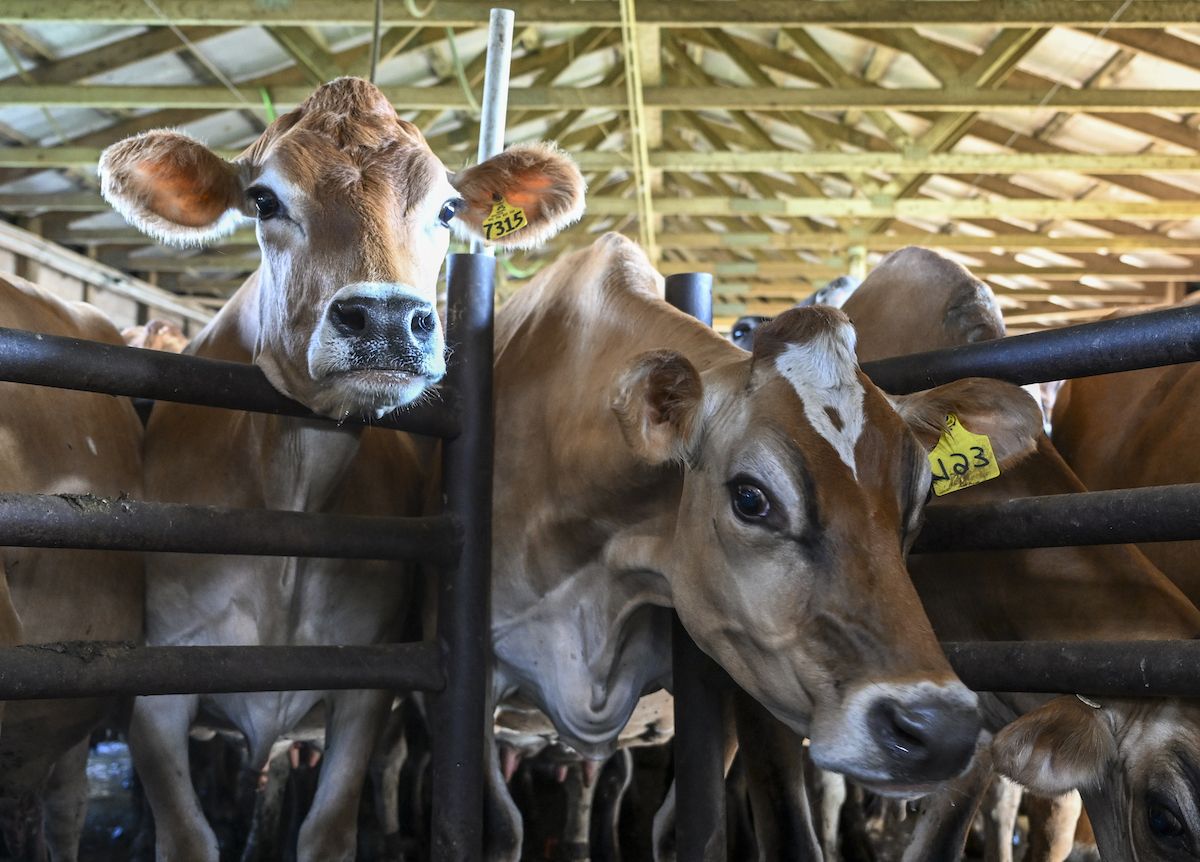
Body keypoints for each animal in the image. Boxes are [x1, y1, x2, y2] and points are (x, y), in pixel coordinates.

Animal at [97, 76, 586, 862]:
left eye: (447, 208)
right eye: (264, 199)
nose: (386, 321)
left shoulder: (367, 686)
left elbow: (327, 829)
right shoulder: (155, 688)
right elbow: (186, 834)